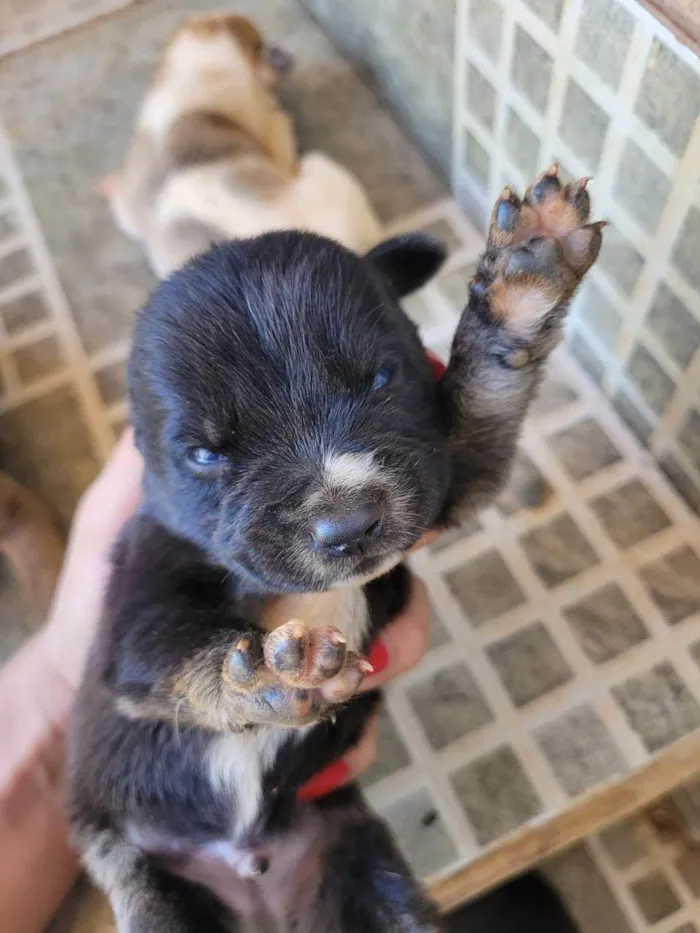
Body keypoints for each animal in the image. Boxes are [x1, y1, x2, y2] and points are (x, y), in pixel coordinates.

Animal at [67, 169, 600, 932]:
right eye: (204, 455)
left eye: (382, 379)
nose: (347, 525)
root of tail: (252, 880)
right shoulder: (133, 602)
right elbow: (170, 645)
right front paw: (267, 676)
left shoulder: (444, 477)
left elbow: (484, 400)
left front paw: (527, 280)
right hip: (149, 878)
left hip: (356, 859)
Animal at [104, 13, 382, 276]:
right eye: (259, 45)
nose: (280, 54)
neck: (201, 65)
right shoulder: (272, 130)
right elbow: (279, 130)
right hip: (321, 165)